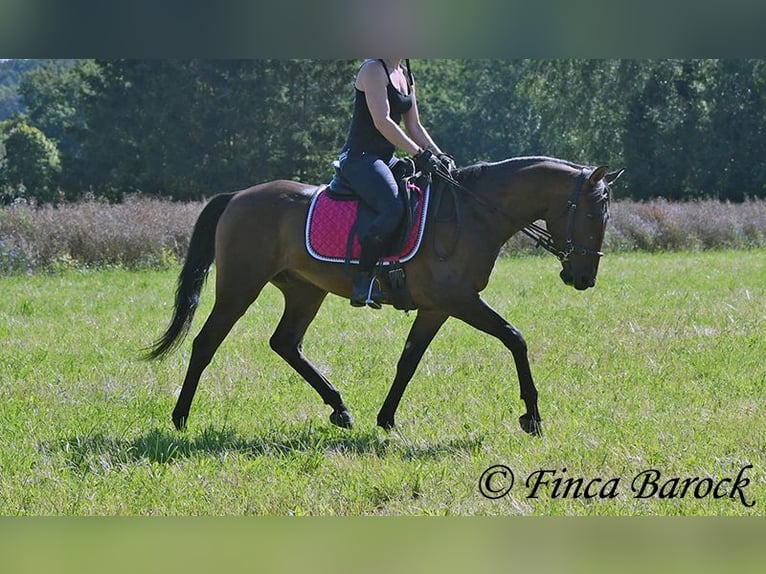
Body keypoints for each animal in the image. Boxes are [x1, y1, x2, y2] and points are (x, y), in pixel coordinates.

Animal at [147, 158, 628, 436]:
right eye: (592, 214)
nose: (584, 277)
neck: (474, 213)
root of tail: (239, 196)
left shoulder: (437, 308)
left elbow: (408, 361)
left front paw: (387, 420)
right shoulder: (460, 300)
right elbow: (515, 338)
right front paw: (532, 416)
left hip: (305, 291)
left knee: (285, 343)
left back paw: (340, 408)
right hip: (240, 287)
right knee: (205, 343)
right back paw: (180, 418)